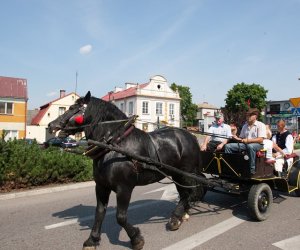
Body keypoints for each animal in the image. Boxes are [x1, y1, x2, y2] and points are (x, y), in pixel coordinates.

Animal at [48, 92, 205, 250]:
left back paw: (176, 217)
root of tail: (190, 136)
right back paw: (179, 217)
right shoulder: (101, 186)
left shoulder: (124, 188)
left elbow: (121, 217)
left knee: (190, 193)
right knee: (184, 194)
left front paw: (136, 238)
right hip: (177, 175)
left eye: (72, 108)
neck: (113, 145)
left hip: (186, 174)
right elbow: (99, 212)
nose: (51, 125)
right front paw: (92, 240)